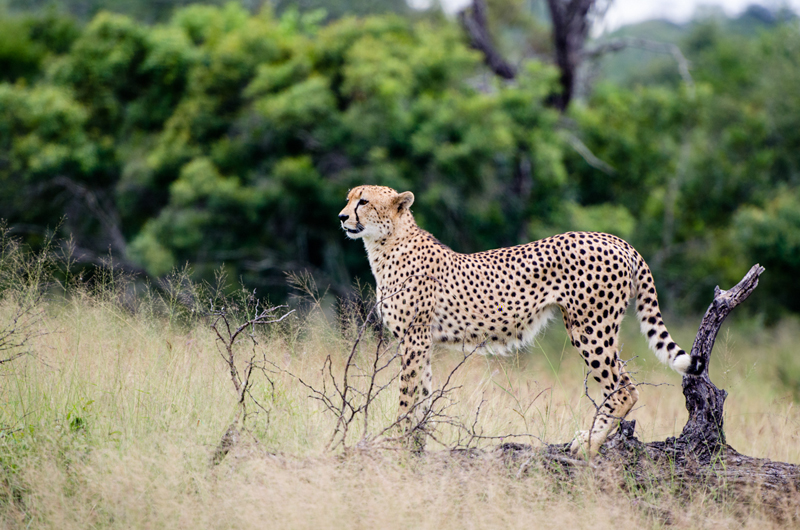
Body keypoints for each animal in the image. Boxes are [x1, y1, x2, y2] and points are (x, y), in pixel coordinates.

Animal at [338, 185, 704, 457]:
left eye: (363, 201)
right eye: (348, 198)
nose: (341, 217)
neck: (387, 242)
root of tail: (616, 239)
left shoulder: (413, 337)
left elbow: (407, 394)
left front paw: (396, 441)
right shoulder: (421, 339)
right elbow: (424, 393)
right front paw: (415, 442)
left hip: (590, 328)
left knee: (624, 388)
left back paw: (589, 444)